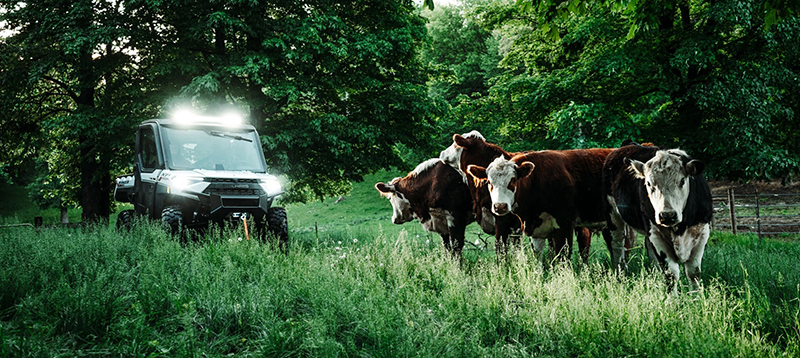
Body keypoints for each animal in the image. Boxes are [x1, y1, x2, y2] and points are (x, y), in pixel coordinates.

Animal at [466, 147, 616, 262]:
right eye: (489, 182)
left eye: (513, 180)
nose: (500, 206)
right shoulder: (535, 231)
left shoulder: (565, 224)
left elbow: (563, 259)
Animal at [600, 143, 712, 294]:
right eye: (648, 184)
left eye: (682, 181)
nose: (667, 215)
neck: (680, 229)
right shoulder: (656, 235)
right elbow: (671, 275)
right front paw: (673, 300)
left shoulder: (702, 233)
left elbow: (694, 273)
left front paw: (697, 297)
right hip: (613, 217)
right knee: (617, 247)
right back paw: (620, 277)